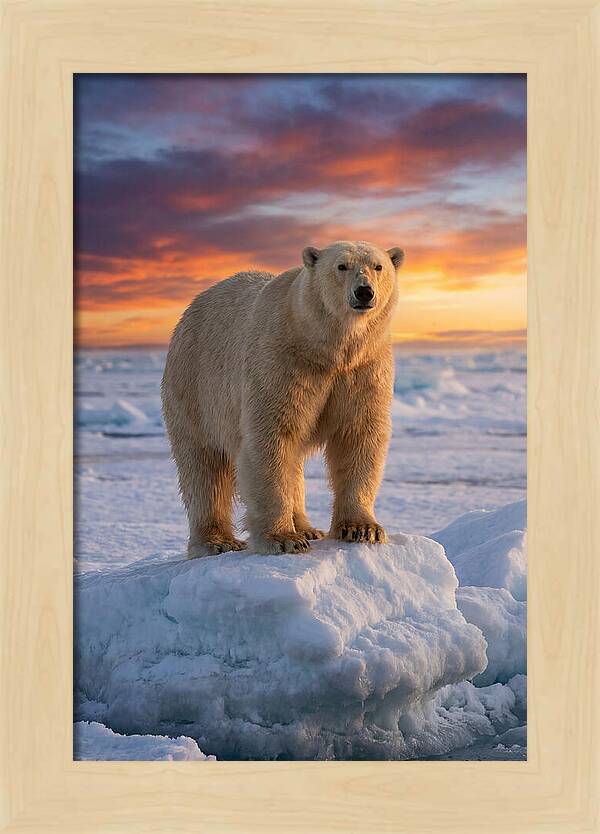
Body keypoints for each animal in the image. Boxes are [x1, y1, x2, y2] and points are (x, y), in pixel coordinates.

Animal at [161, 240, 404, 557]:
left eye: (378, 266)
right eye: (342, 266)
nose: (364, 292)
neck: (325, 348)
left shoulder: (364, 368)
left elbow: (359, 435)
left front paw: (363, 529)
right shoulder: (281, 361)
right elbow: (271, 438)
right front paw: (283, 538)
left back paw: (307, 527)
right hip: (194, 386)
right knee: (204, 466)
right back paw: (217, 541)